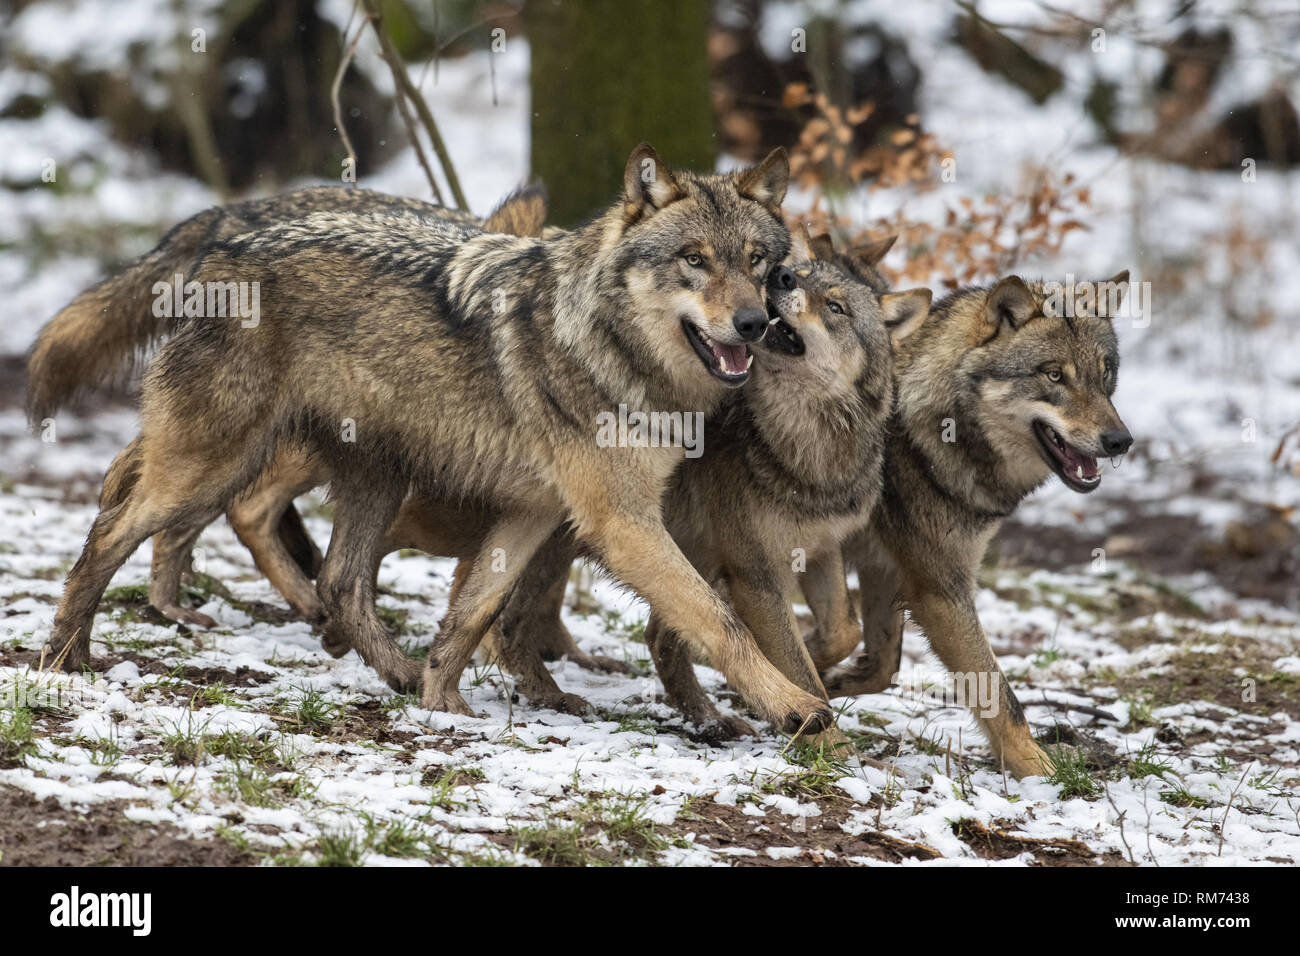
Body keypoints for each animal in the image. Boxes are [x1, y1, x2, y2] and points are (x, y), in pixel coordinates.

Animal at [816, 270, 1133, 780]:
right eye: (1053, 374)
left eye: (1104, 375)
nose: (1121, 441)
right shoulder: (941, 590)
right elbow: (1001, 696)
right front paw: (1041, 772)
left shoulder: (888, 567)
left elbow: (882, 665)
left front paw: (828, 678)